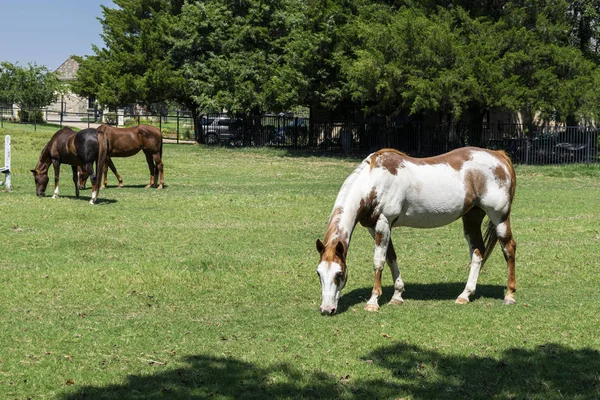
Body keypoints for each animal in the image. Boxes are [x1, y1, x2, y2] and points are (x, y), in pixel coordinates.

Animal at [316, 147, 516, 316]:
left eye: (339, 274)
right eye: (319, 273)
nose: (326, 309)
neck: (373, 181)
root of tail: (499, 156)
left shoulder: (383, 223)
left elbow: (378, 262)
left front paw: (373, 301)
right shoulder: (375, 228)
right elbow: (391, 258)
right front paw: (397, 295)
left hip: (499, 218)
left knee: (509, 249)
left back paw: (509, 295)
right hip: (472, 218)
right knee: (477, 253)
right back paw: (465, 295)